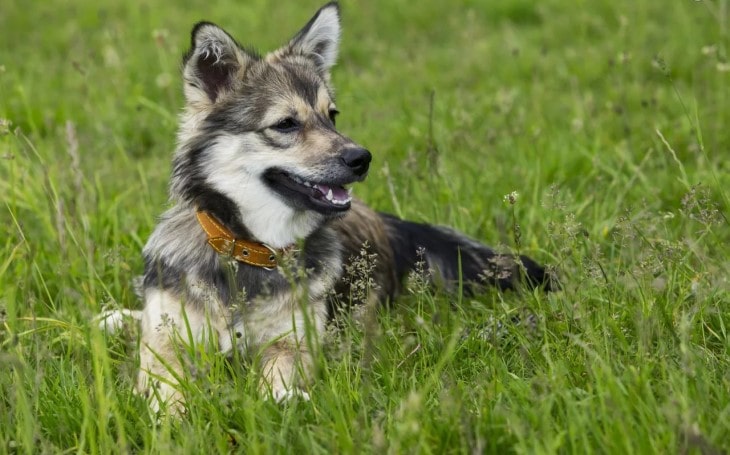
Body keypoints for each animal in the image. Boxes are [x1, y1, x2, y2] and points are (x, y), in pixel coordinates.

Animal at [132, 0, 552, 414]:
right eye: (286, 124)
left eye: (331, 115)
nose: (362, 158)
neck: (250, 249)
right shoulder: (165, 342)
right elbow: (165, 387)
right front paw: (174, 417)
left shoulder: (294, 342)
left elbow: (278, 381)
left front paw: (281, 401)